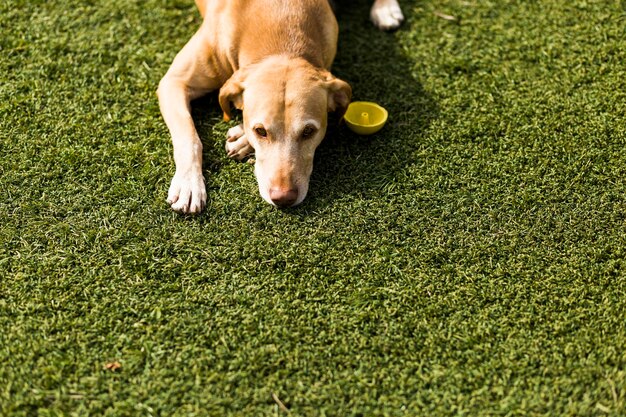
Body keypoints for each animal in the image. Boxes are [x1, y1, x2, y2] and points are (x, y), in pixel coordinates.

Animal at [156, 0, 400, 213]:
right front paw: (189, 184)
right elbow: (189, 138)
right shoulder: (174, 82)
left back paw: (386, 8)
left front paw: (242, 139)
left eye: (309, 131)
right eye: (260, 131)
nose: (283, 198)